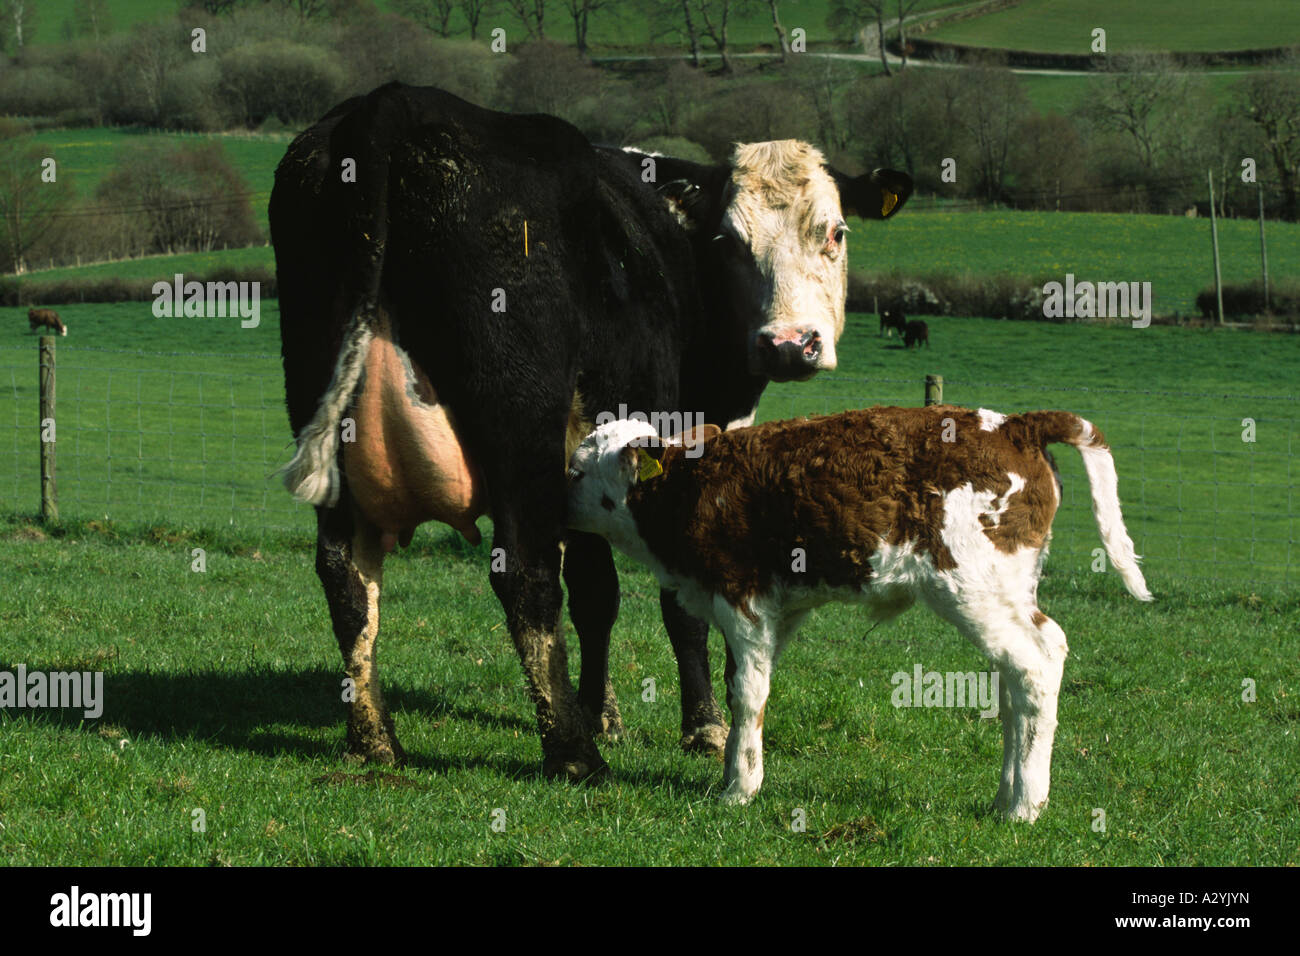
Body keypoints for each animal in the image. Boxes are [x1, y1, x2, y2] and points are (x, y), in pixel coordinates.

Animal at [269, 82, 909, 780]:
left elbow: (596, 593)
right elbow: (674, 601)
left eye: (835, 232)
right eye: (726, 242)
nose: (790, 344)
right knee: (524, 576)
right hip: (521, 421)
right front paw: (704, 725)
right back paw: (574, 755)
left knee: (347, 575)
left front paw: (605, 713)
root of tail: (395, 101)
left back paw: (376, 740)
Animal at [569, 403, 1149, 822]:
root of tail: (1014, 425)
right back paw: (1004, 797)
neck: (688, 488)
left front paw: (738, 789)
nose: (556, 495)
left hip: (970, 585)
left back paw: (1025, 807)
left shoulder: (742, 598)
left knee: (1034, 665)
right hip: (1008, 591)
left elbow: (748, 692)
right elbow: (749, 684)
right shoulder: (779, 608)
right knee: (1021, 675)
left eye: (576, 469)